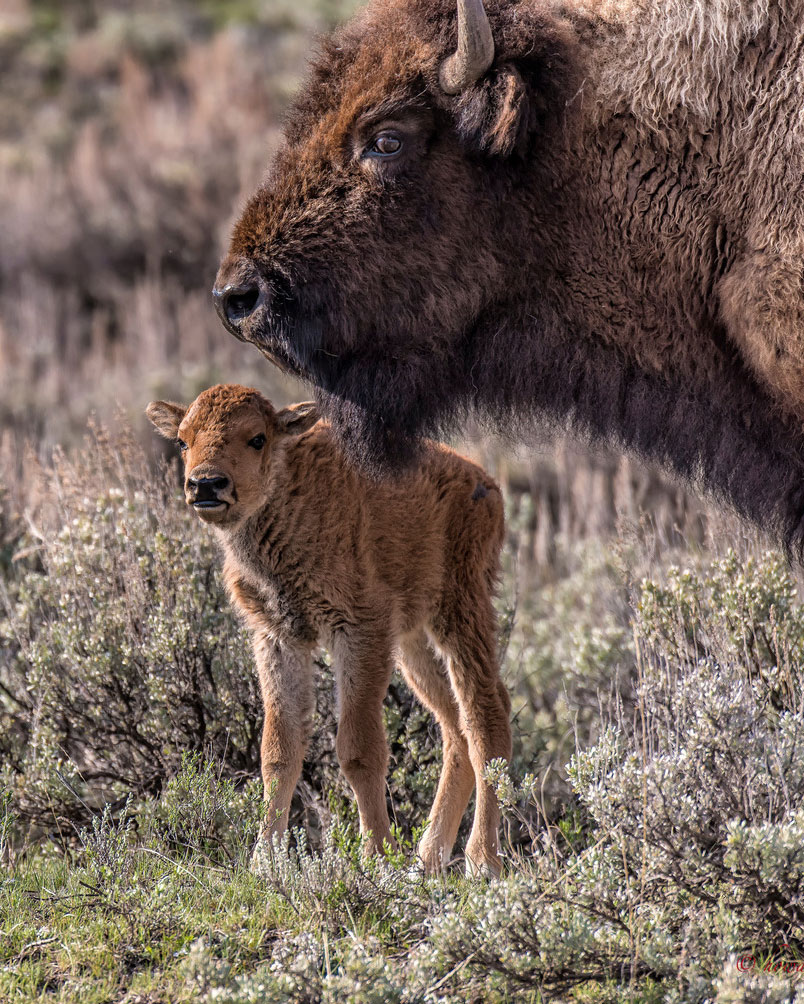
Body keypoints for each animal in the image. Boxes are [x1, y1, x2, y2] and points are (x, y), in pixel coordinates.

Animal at [145, 385, 507, 879]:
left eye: (257, 438)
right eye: (183, 441)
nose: (205, 485)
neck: (287, 497)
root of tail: (487, 486)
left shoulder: (358, 630)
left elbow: (357, 750)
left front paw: (377, 857)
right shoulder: (279, 637)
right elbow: (278, 750)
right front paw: (265, 861)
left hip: (459, 610)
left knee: (485, 715)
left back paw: (481, 861)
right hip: (413, 642)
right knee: (455, 725)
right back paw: (427, 857)